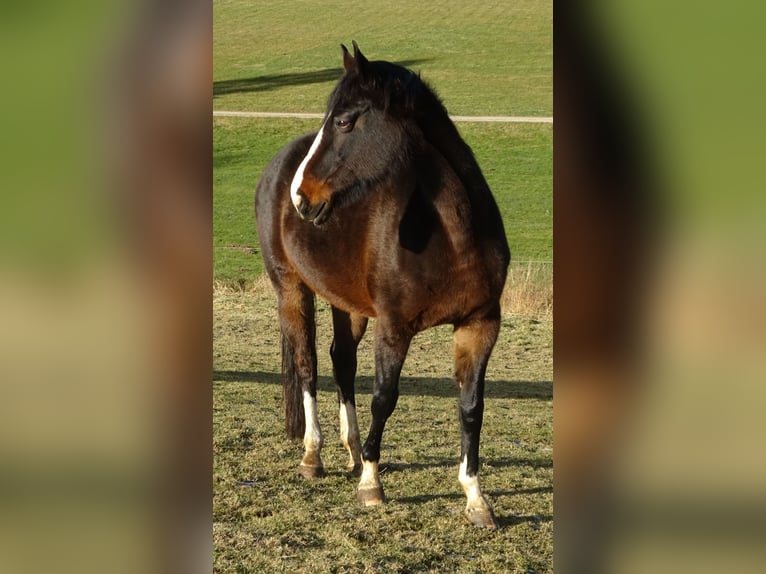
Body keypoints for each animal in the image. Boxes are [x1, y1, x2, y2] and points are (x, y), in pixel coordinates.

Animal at [255, 41, 512, 532]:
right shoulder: (394, 327)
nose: (301, 197)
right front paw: (371, 485)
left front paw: (476, 498)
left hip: (348, 303)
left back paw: (353, 450)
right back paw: (314, 456)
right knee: (307, 364)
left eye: (343, 121)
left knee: (340, 361)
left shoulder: (480, 325)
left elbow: (472, 407)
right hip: (291, 289)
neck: (452, 237)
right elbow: (385, 398)